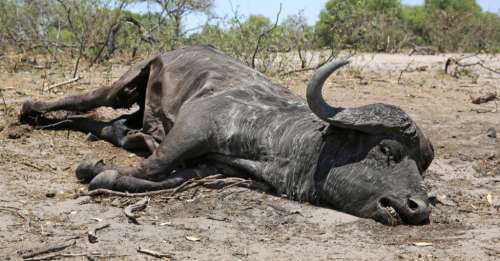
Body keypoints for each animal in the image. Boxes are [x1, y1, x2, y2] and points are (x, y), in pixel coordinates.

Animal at [19, 44, 434, 223]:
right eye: (386, 150)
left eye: (422, 166)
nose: (419, 207)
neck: (282, 139)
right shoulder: (193, 129)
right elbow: (152, 168)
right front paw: (93, 169)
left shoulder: (214, 168)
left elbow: (159, 180)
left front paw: (105, 171)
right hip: (127, 81)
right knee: (88, 99)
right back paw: (30, 111)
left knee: (108, 124)